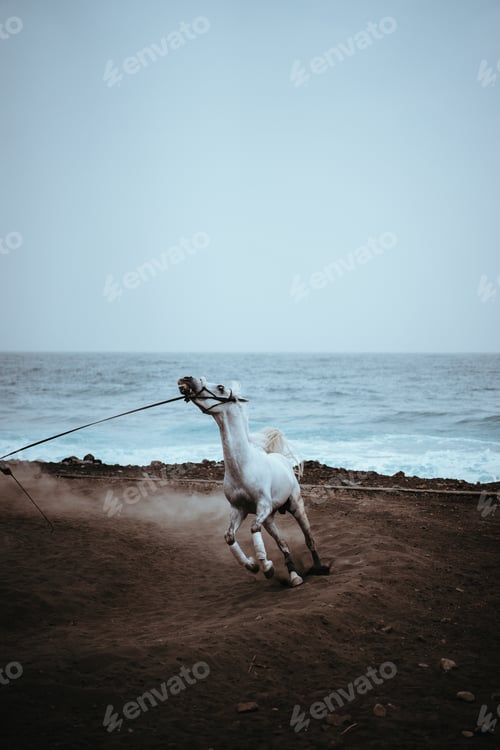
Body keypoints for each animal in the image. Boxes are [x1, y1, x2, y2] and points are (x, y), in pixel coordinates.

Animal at [178, 376, 330, 586]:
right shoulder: (239, 510)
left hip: (295, 506)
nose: (187, 380)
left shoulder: (262, 506)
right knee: (283, 543)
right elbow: (229, 537)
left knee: (309, 539)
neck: (243, 467)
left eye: (221, 387)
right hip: (271, 519)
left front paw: (267, 567)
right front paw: (253, 565)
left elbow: (253, 528)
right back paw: (294, 576)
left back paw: (318, 568)